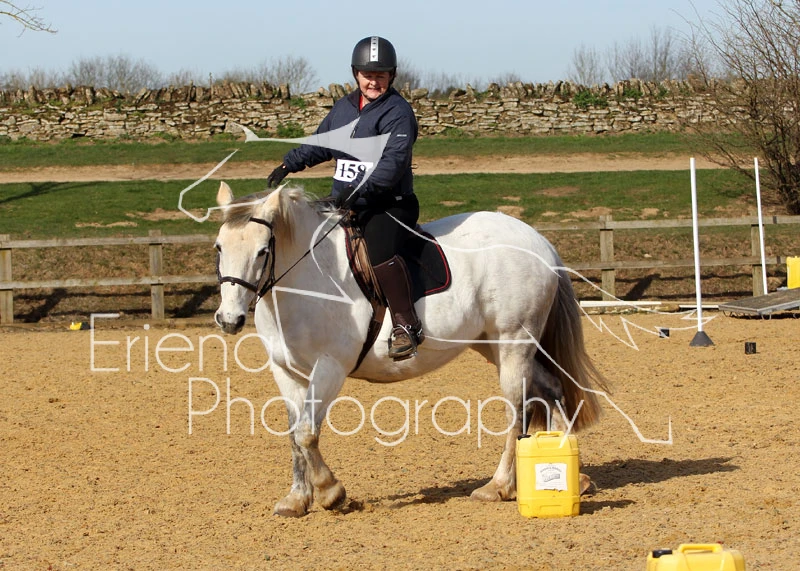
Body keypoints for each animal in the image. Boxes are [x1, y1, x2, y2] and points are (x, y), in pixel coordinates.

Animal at [213, 181, 608, 517]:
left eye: (263, 250)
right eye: (218, 247)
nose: (229, 319)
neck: (309, 277)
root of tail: (538, 240)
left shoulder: (329, 367)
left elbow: (308, 432)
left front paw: (331, 492)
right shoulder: (287, 371)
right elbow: (295, 434)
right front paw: (297, 499)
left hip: (514, 343)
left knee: (518, 407)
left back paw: (497, 486)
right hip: (495, 346)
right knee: (551, 388)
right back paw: (572, 473)